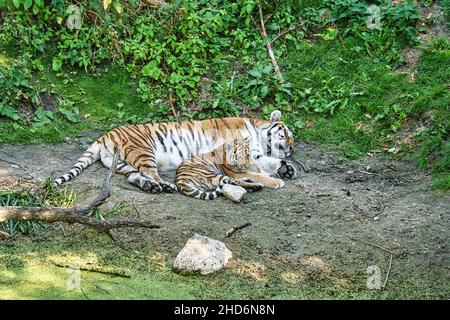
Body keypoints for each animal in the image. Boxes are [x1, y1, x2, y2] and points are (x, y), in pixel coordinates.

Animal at [52, 110, 298, 194]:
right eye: (287, 133)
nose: (292, 147)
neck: (258, 134)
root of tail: (105, 135)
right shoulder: (231, 158)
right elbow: (257, 172)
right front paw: (277, 180)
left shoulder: (254, 154)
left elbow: (266, 163)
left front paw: (287, 169)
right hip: (144, 150)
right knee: (151, 173)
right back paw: (165, 185)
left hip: (122, 164)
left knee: (134, 177)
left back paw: (151, 187)